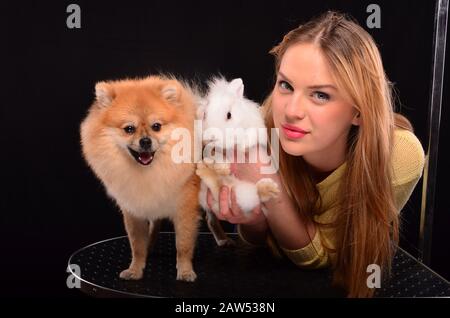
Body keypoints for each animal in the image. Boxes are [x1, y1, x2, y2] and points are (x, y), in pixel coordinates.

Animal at [80, 76, 201, 282]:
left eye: (156, 127)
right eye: (129, 129)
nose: (145, 141)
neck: (149, 172)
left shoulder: (185, 209)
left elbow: (183, 244)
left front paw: (185, 271)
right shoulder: (133, 209)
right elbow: (136, 245)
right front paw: (135, 269)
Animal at [196, 76, 280, 241]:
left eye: (229, 115)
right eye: (204, 115)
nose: (211, 137)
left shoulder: (256, 130)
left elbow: (251, 136)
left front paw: (244, 146)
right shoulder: (208, 149)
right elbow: (216, 155)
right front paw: (223, 167)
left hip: (240, 195)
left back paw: (269, 188)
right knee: (218, 187)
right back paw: (207, 169)